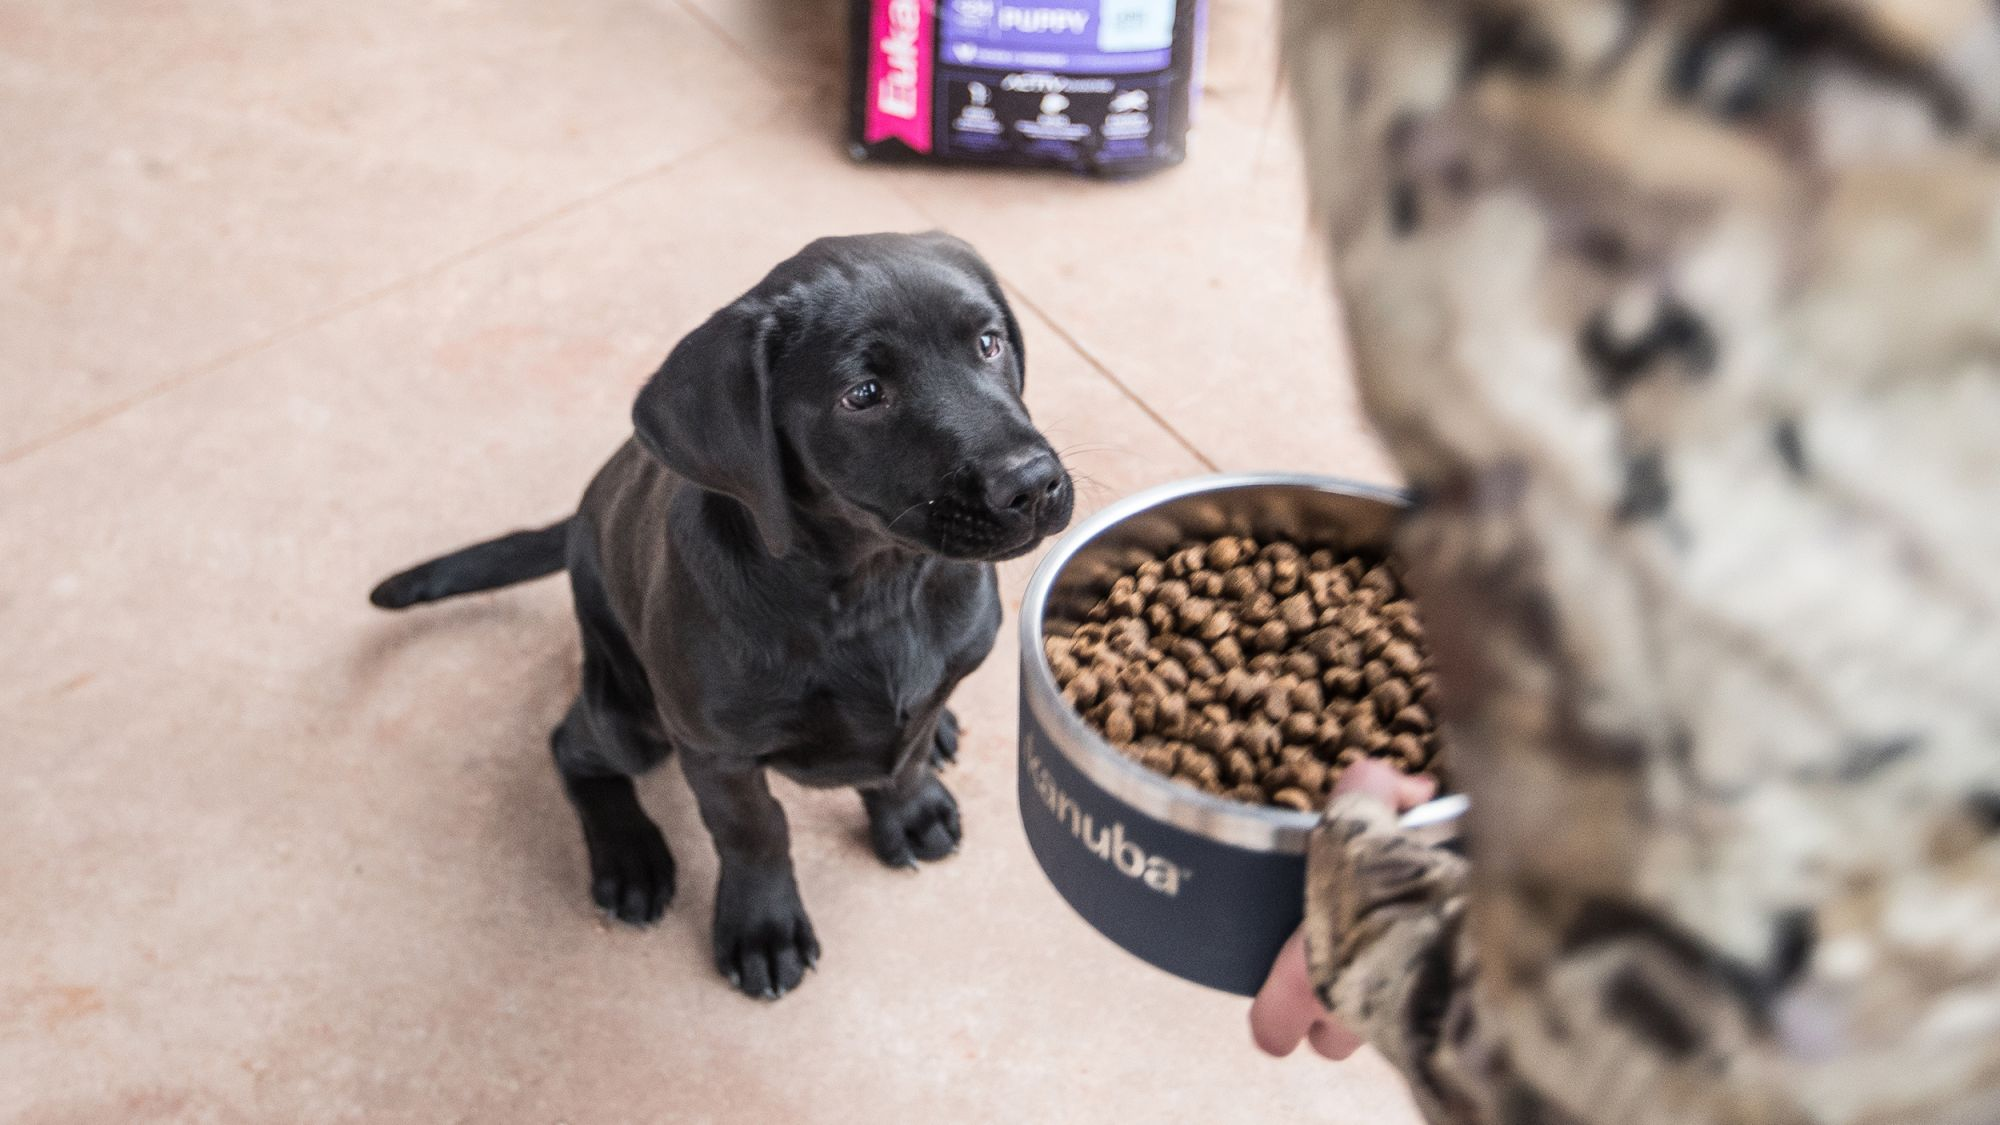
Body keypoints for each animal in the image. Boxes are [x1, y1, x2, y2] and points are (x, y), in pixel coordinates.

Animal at [368, 232, 1072, 992]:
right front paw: (763, 927)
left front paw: (911, 809)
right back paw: (631, 857)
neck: (872, 589)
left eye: (989, 343)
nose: (1032, 484)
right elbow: (754, 829)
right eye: (863, 395)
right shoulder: (715, 750)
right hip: (630, 716)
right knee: (570, 746)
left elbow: (903, 760)